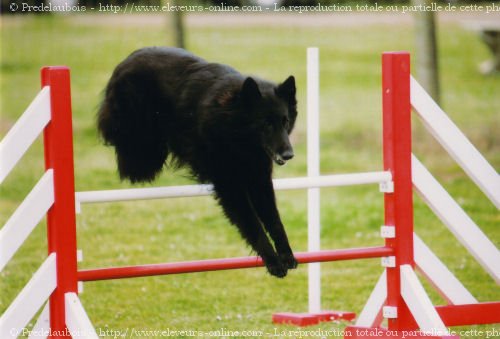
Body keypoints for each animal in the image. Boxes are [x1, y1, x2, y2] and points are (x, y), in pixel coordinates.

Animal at [99, 46, 298, 278]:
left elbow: (274, 221)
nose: (289, 154)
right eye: (266, 124)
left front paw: (286, 254)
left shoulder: (259, 179)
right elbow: (253, 224)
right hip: (138, 138)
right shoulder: (229, 186)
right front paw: (273, 260)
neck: (231, 122)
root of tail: (129, 58)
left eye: (285, 121)